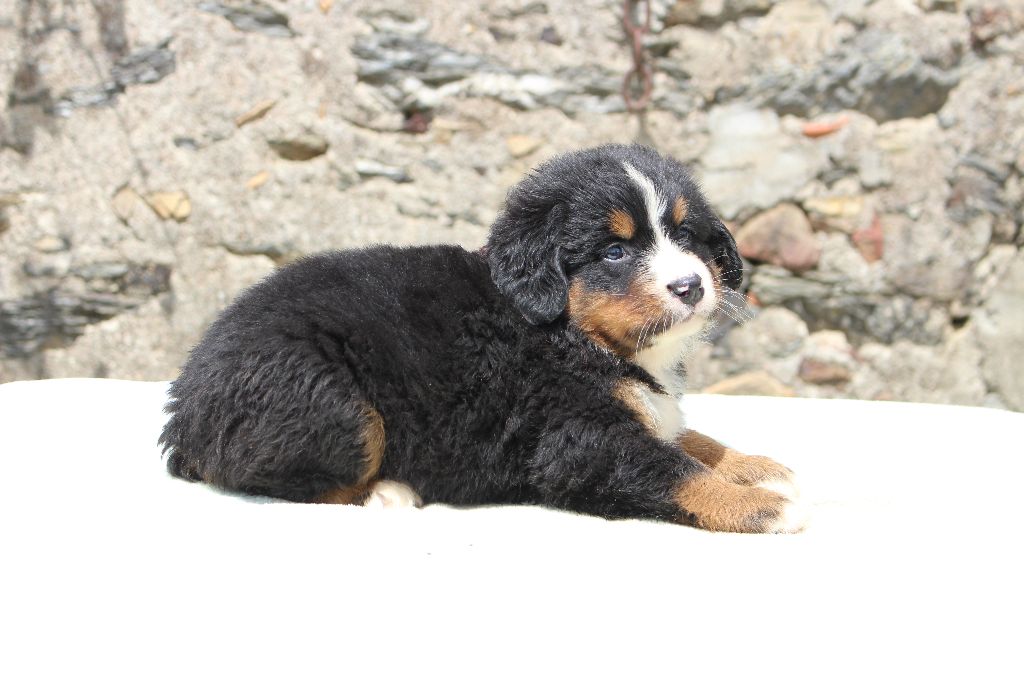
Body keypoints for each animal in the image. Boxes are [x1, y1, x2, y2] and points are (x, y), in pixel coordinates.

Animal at [160, 144, 804, 533]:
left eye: (687, 236)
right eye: (614, 252)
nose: (690, 286)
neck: (571, 334)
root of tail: (184, 407)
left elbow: (686, 437)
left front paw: (754, 466)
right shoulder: (576, 440)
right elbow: (672, 469)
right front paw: (763, 507)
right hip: (328, 399)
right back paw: (388, 493)